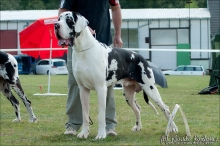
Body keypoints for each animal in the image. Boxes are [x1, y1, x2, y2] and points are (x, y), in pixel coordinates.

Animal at [54, 11, 177, 139]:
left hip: (150, 88)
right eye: (59, 19)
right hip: (128, 95)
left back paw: (172, 128)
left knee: (166, 109)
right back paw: (138, 127)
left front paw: (101, 135)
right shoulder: (83, 90)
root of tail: (142, 57)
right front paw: (84, 133)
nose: (56, 25)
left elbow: (101, 115)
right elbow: (85, 115)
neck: (83, 50)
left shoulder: (101, 89)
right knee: (138, 109)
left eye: (69, 20)